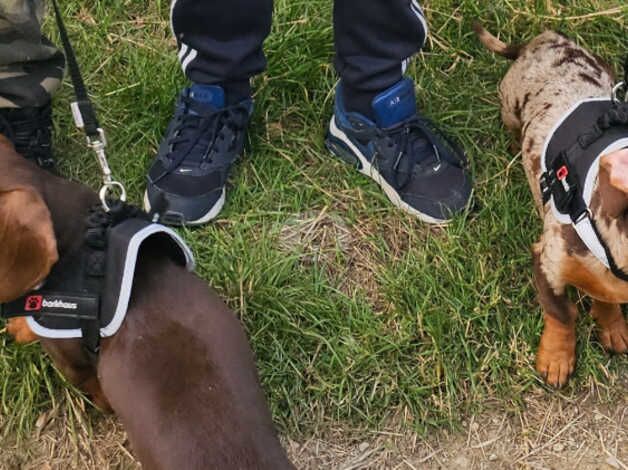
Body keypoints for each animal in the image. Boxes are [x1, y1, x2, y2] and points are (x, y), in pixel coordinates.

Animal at [476, 23, 628, 388]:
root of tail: (542, 39)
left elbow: (603, 298)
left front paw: (613, 326)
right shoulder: (546, 260)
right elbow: (560, 314)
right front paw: (556, 360)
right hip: (510, 106)